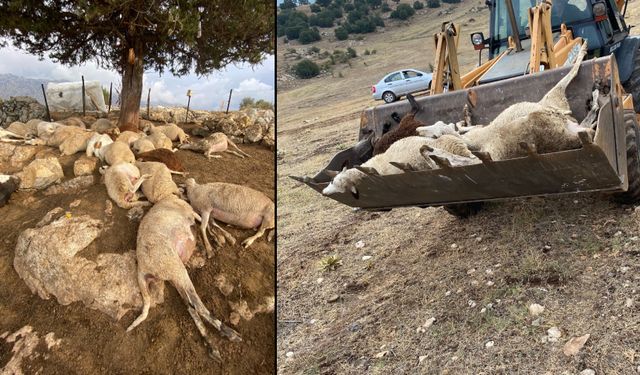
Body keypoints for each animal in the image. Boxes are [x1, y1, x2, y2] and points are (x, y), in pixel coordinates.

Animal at [126, 195, 241, 360]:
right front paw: (221, 239)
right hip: (177, 269)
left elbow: (208, 224)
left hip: (174, 277)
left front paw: (221, 239)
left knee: (190, 306)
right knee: (197, 304)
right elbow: (207, 223)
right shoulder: (192, 213)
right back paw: (230, 334)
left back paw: (211, 345)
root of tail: (143, 269)